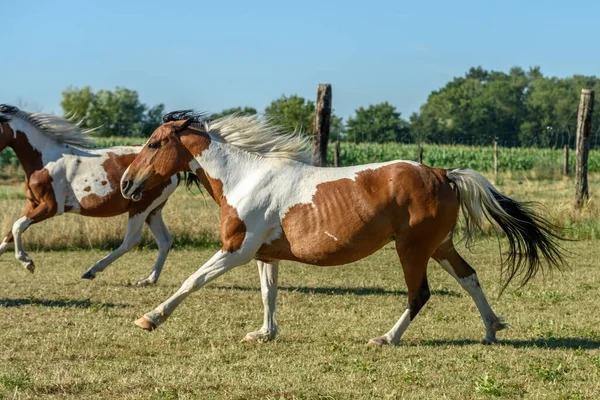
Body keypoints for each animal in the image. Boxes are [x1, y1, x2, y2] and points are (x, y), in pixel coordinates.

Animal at [1, 104, 182, 286]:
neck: (45, 160)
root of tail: (176, 171)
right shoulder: (33, 203)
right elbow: (11, 231)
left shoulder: (51, 207)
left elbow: (17, 226)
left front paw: (27, 263)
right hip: (153, 210)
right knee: (165, 240)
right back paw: (148, 280)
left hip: (140, 207)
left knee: (132, 240)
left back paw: (92, 271)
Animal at [119, 111, 564, 346]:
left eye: (154, 144)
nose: (125, 184)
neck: (244, 178)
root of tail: (442, 172)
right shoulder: (264, 254)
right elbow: (268, 294)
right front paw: (264, 333)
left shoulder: (237, 250)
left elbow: (192, 280)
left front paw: (150, 318)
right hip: (440, 246)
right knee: (469, 278)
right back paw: (491, 330)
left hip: (412, 248)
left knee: (419, 294)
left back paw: (386, 339)